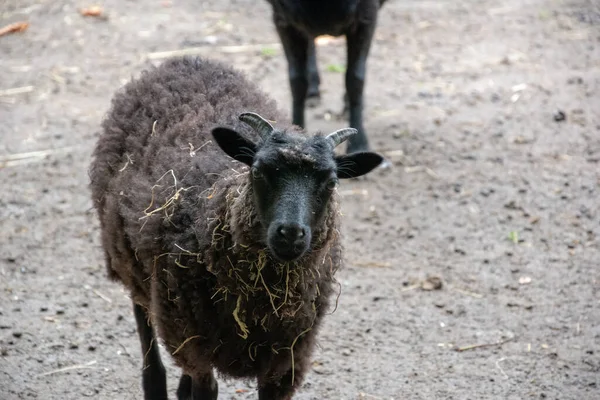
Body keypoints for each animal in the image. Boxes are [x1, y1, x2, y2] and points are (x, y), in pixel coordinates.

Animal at [88, 57, 382, 400]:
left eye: (332, 181)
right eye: (257, 171)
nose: (290, 234)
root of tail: (183, 60)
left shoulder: (286, 358)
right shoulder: (194, 343)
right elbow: (204, 388)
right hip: (128, 259)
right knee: (144, 325)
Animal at [264, 0, 386, 153]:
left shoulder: (366, 17)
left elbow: (355, 79)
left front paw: (359, 145)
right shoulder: (283, 19)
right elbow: (297, 79)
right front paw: (294, 131)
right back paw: (313, 91)